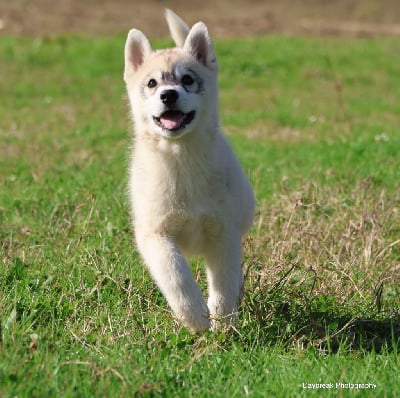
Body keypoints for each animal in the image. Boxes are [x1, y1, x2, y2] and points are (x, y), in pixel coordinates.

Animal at [123, 10, 255, 332]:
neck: (181, 159)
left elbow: (223, 283)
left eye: (187, 79)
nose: (168, 95)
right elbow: (175, 276)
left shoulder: (224, 233)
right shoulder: (155, 234)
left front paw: (222, 323)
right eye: (152, 83)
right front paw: (195, 316)